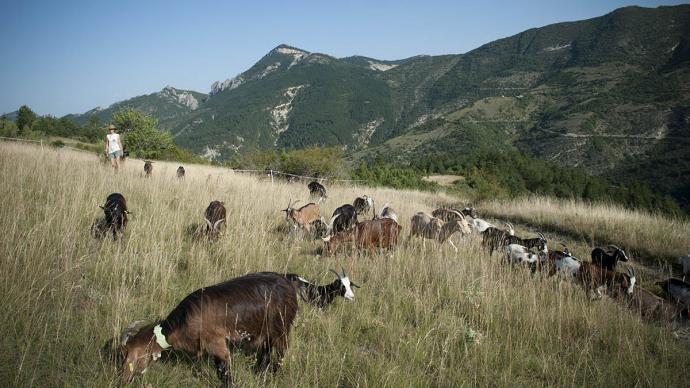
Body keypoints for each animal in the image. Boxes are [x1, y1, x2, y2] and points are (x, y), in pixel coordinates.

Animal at [117, 272, 298, 386]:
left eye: (128, 357)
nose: (123, 380)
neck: (185, 320)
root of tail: (288, 281)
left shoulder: (216, 342)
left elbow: (224, 371)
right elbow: (220, 369)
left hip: (282, 327)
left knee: (281, 351)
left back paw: (274, 373)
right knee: (267, 350)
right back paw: (260, 372)